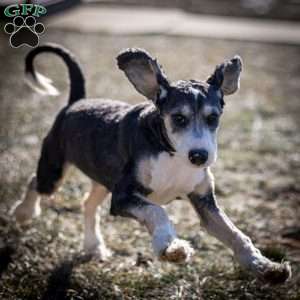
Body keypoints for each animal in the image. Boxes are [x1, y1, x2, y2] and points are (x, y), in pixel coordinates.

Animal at [11, 44, 290, 284]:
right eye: (178, 118)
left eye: (213, 118)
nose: (199, 156)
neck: (170, 153)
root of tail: (76, 102)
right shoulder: (123, 197)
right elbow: (157, 211)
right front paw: (171, 247)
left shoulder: (204, 200)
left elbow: (235, 234)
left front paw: (266, 267)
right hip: (55, 169)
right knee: (36, 182)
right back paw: (24, 212)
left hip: (103, 177)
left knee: (88, 204)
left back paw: (94, 245)